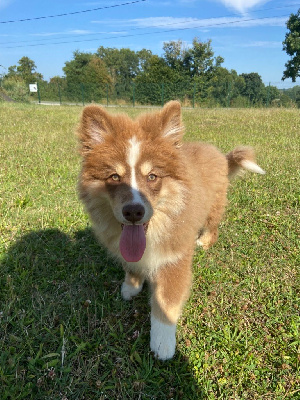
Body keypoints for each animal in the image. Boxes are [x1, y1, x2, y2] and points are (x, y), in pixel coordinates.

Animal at [77, 101, 264, 360]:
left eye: (152, 176)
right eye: (114, 176)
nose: (133, 212)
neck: (154, 231)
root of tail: (220, 155)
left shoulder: (174, 260)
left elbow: (166, 303)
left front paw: (163, 344)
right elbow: (131, 266)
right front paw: (130, 288)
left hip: (214, 205)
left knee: (213, 225)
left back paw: (205, 241)